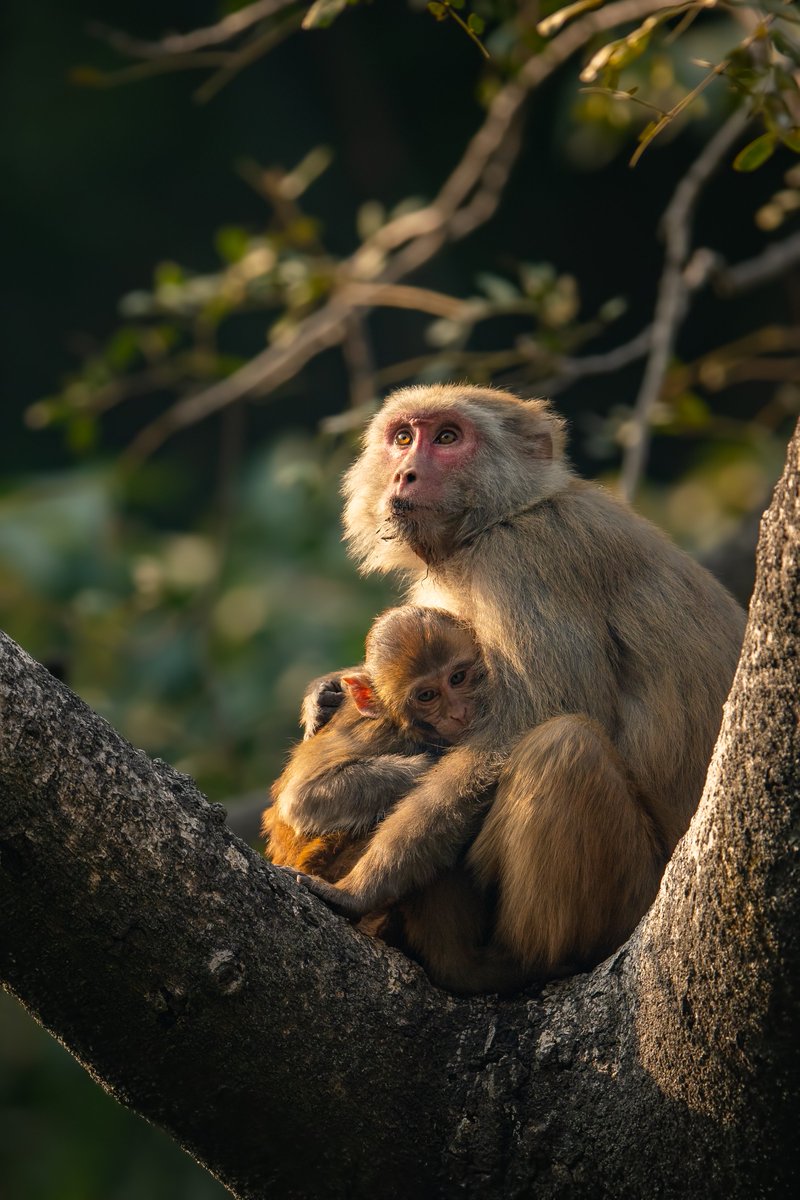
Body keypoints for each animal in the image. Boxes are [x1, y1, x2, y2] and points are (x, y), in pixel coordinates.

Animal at [293, 383, 746, 989]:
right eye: (404, 438)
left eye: (447, 438)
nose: (405, 474)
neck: (504, 516)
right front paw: (327, 696)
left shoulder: (525, 561)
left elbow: (526, 724)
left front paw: (363, 888)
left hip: (634, 896)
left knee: (565, 746)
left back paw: (526, 963)